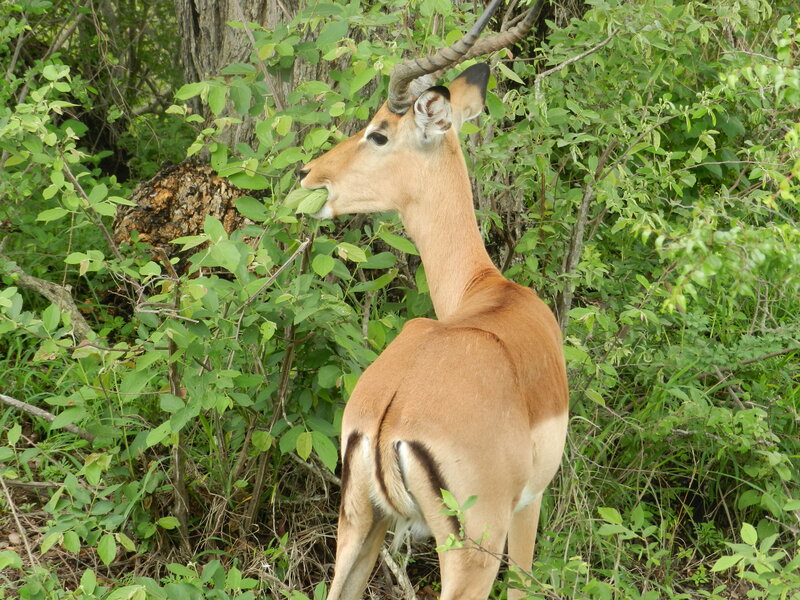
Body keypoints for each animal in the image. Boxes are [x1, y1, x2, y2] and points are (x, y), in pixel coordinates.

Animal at [299, 1, 568, 597]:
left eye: (378, 133)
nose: (310, 174)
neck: (488, 289)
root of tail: (389, 418)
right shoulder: (530, 504)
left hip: (360, 525)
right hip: (471, 550)